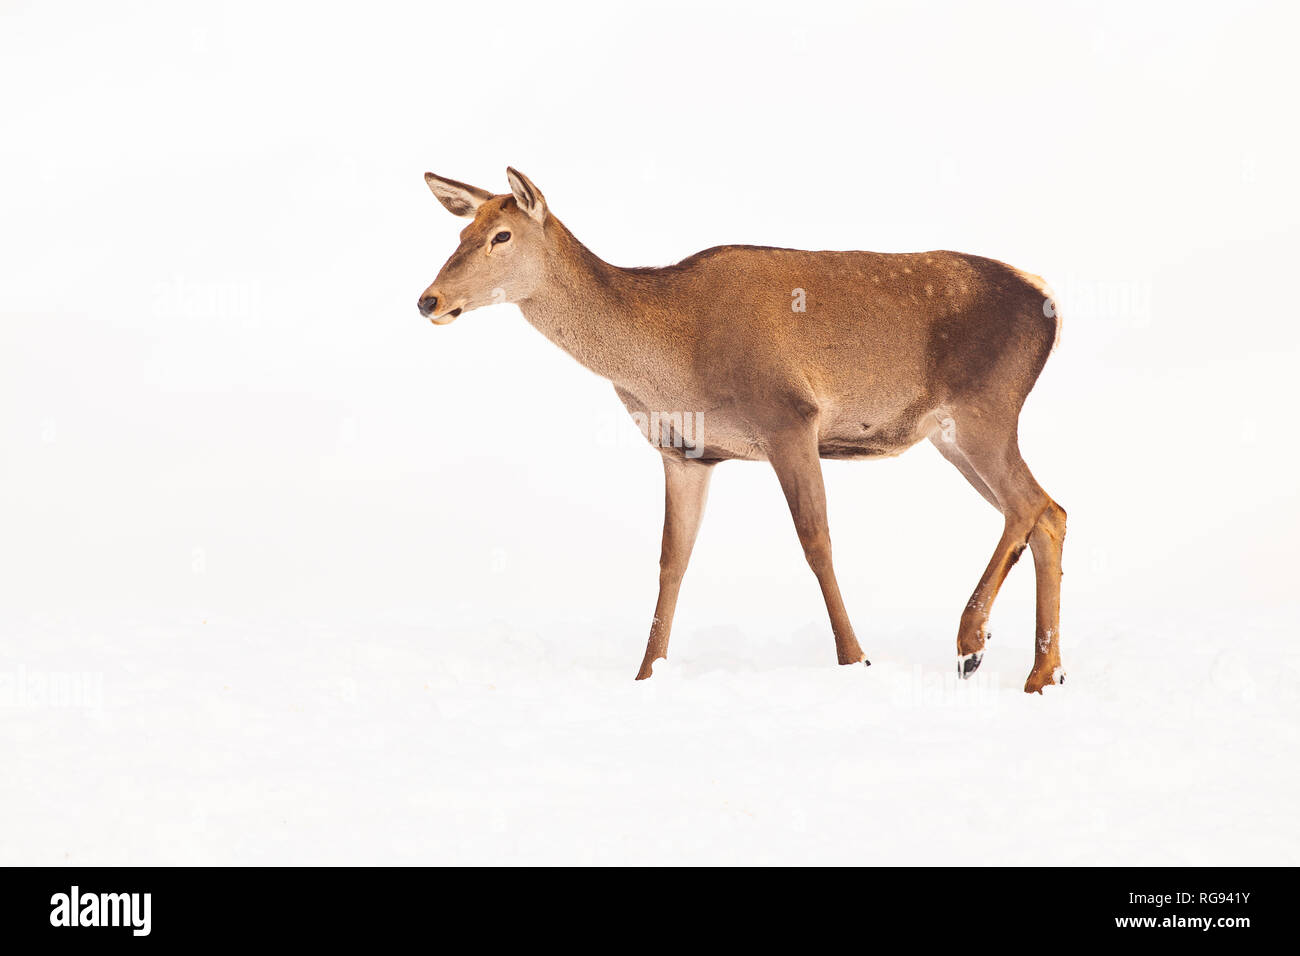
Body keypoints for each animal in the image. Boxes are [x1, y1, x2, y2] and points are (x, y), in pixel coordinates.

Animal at [418, 168, 1066, 694]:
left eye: (501, 236)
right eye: (460, 235)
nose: (429, 300)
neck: (667, 359)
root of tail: (1049, 301)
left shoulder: (789, 417)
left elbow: (816, 540)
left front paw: (855, 660)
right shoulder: (683, 452)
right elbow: (672, 558)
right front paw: (647, 673)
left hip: (984, 410)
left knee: (1028, 504)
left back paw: (972, 643)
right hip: (951, 434)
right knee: (1048, 512)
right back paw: (1043, 672)